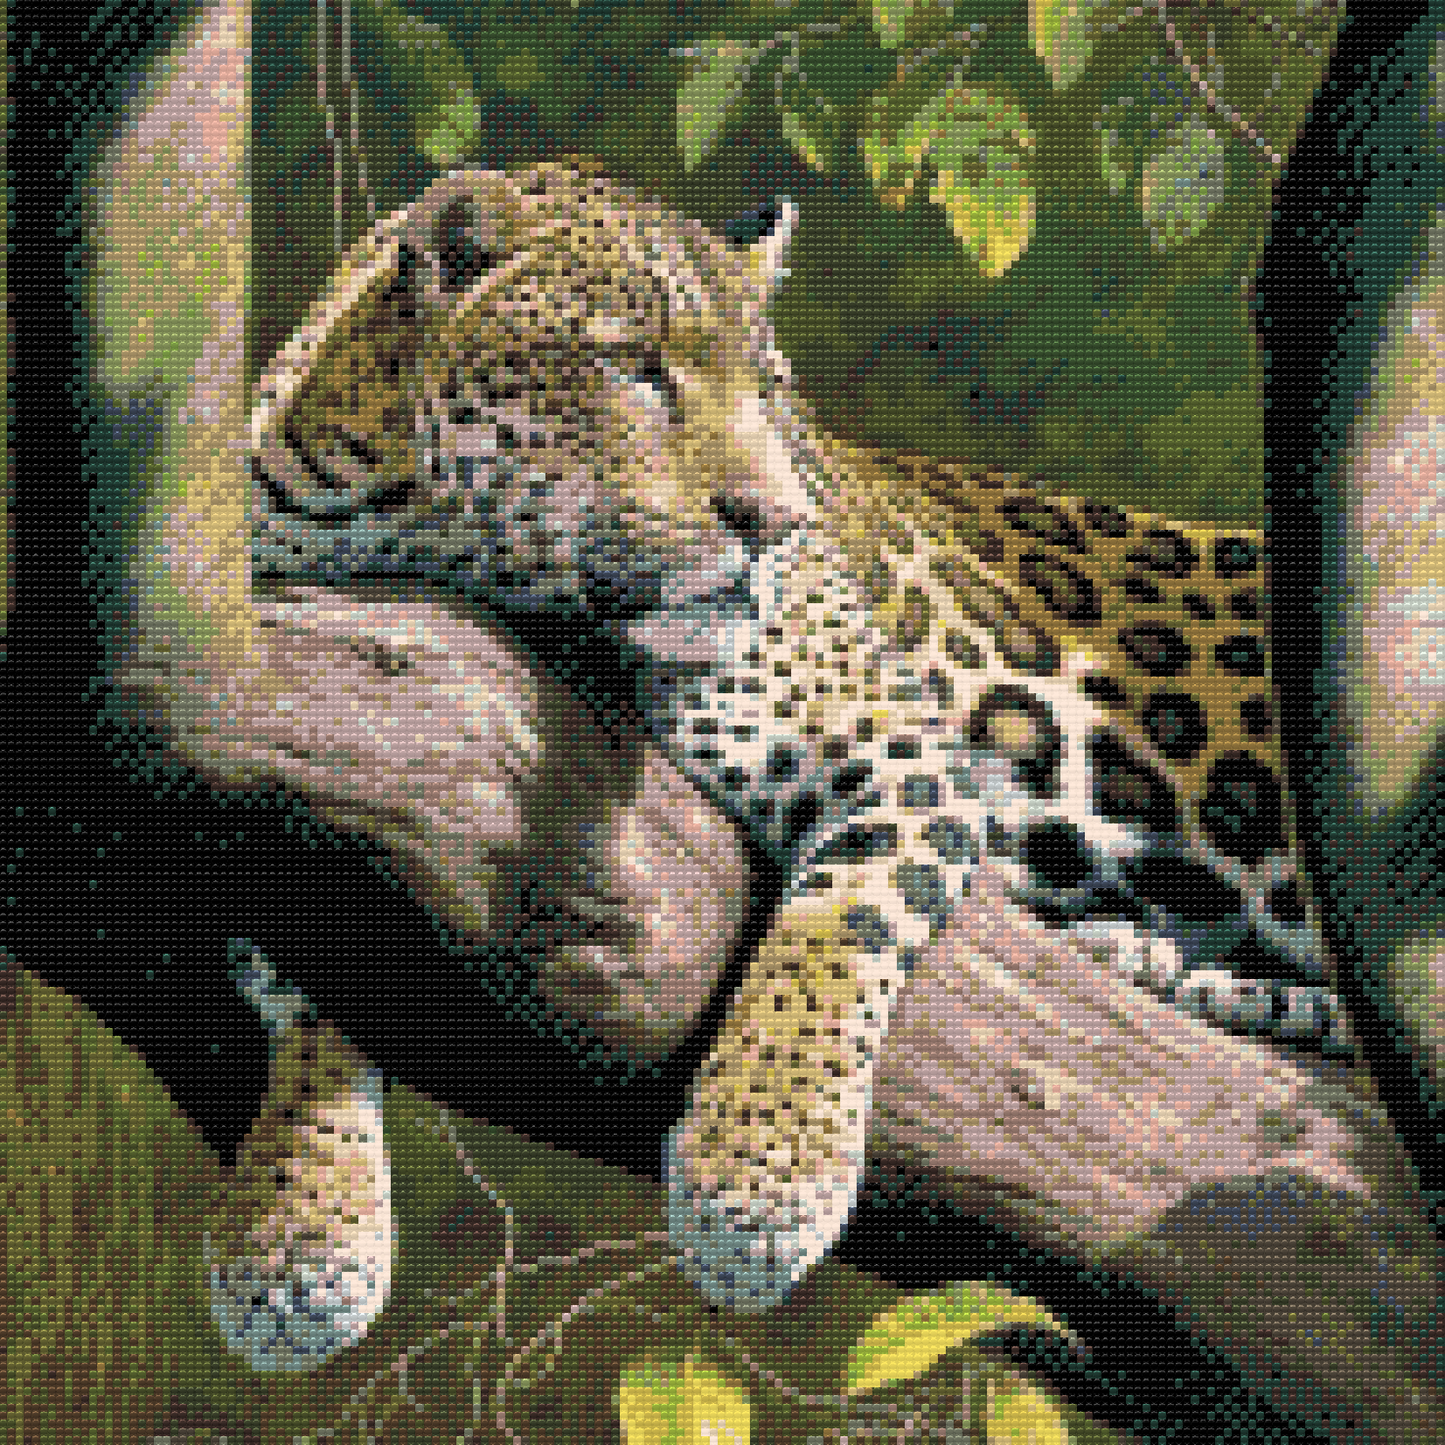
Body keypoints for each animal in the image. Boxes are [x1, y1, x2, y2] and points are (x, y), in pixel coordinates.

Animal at [213, 156, 1353, 1367]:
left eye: (767, 392)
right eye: (635, 367)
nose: (772, 518)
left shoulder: (895, 745)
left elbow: (831, 934)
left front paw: (759, 1181)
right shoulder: (284, 745)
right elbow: (302, 975)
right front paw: (293, 1230)